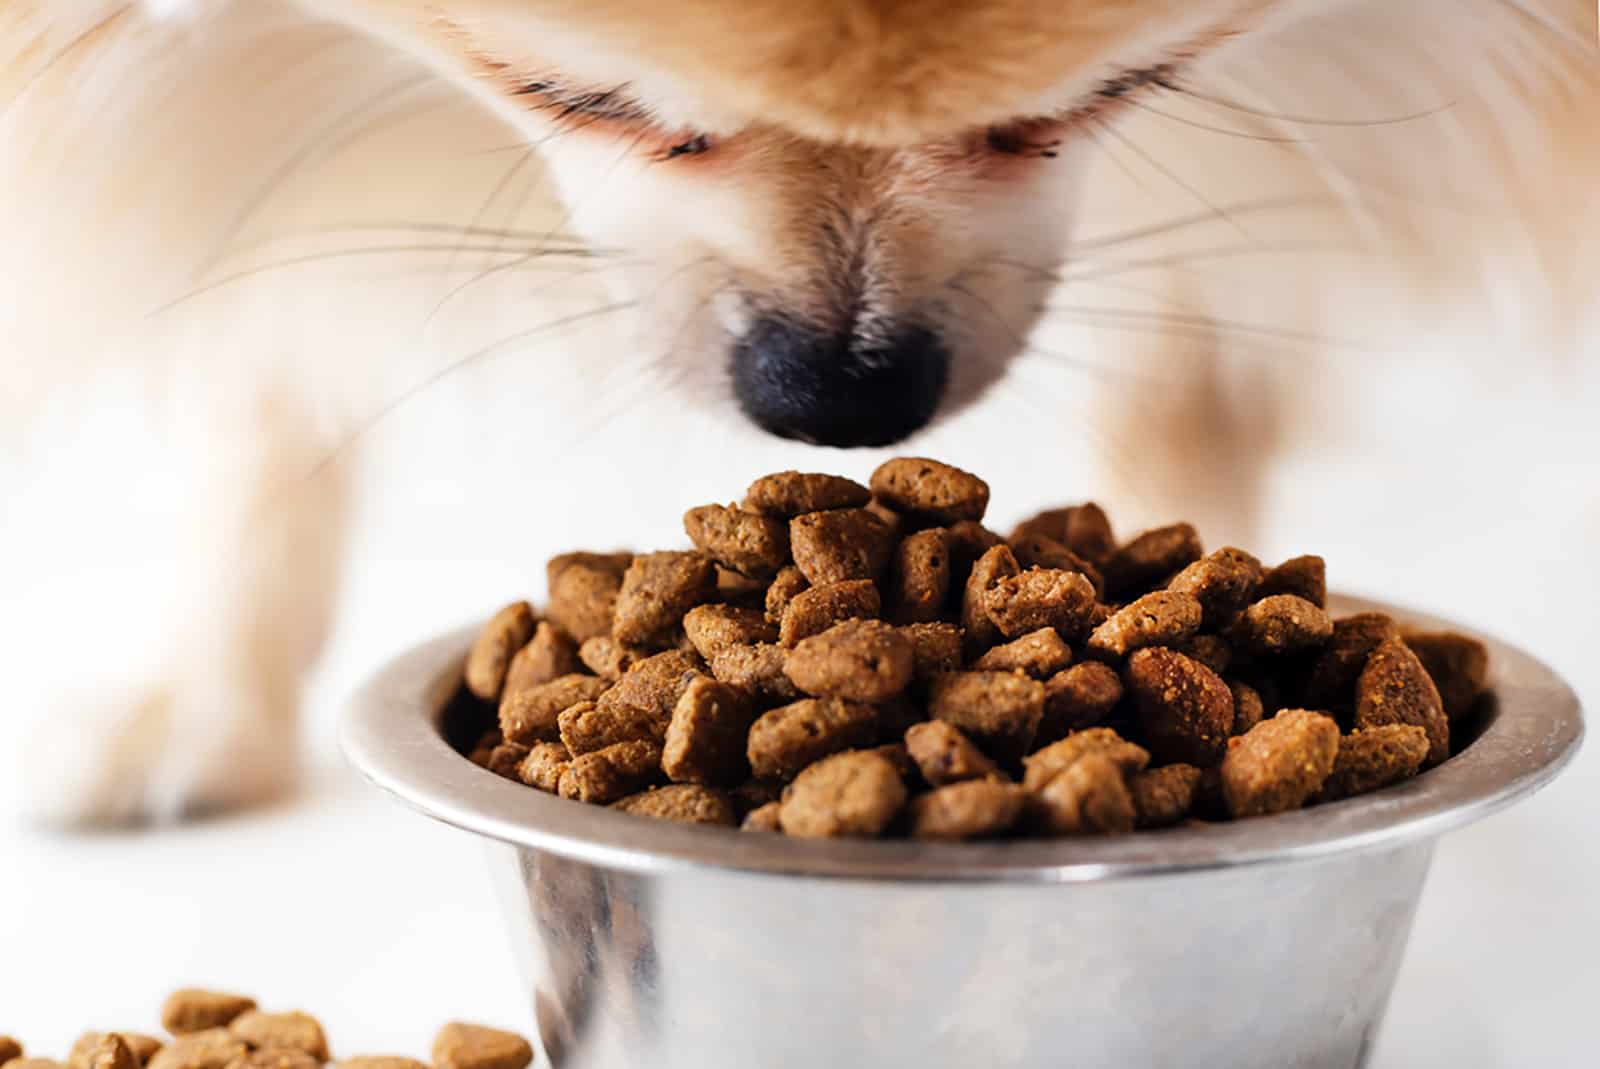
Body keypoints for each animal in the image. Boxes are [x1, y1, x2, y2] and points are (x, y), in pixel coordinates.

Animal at [3, 0, 1600, 825]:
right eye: (578, 95)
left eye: (1115, 93)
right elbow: (260, 379)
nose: (840, 390)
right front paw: (200, 693)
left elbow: (1189, 382)